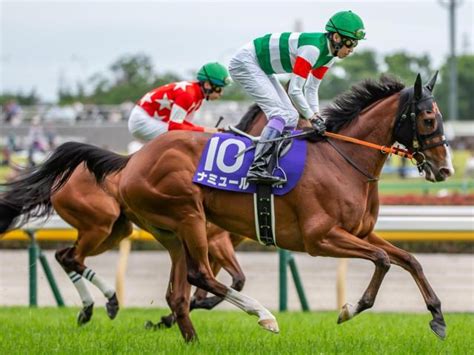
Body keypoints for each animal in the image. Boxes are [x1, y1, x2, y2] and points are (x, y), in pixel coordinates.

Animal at [0, 73, 452, 342]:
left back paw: (182, 334)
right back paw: (263, 314)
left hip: (154, 231)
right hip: (184, 217)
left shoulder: (359, 232)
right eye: (429, 119)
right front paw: (350, 308)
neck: (343, 159)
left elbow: (408, 259)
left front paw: (437, 316)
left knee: (175, 292)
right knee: (194, 275)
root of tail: (131, 161)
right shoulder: (320, 238)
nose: (444, 168)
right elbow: (382, 261)